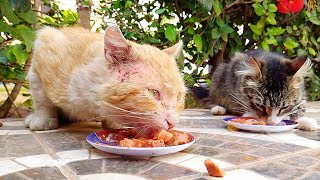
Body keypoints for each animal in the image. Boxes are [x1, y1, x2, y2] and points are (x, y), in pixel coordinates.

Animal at [25, 25, 188, 133]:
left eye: (179, 96)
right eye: (154, 93)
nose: (173, 123)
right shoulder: (40, 55)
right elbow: (41, 99)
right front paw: (43, 119)